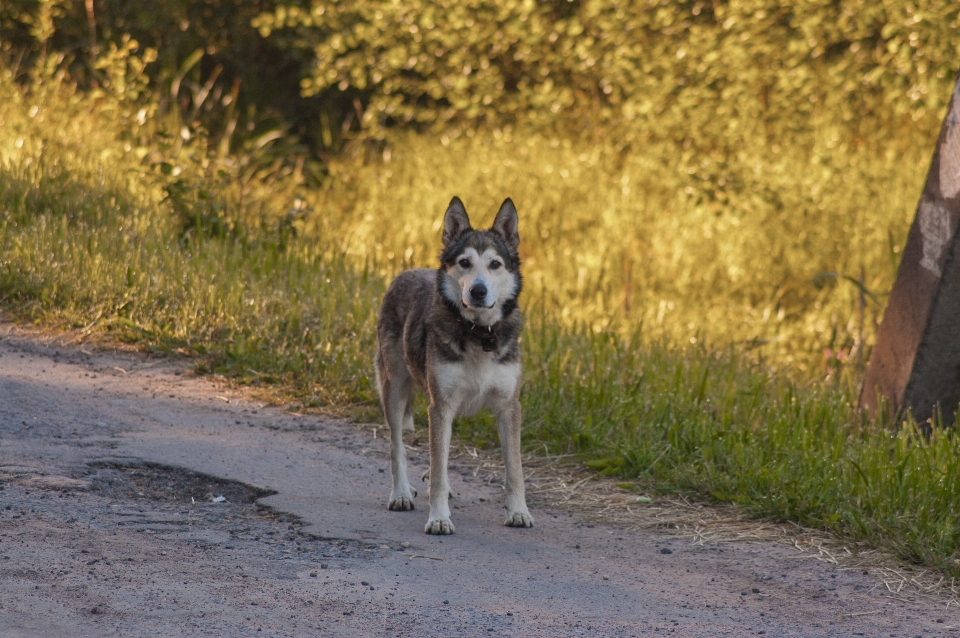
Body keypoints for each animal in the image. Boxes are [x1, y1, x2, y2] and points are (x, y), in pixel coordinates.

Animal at [376, 196, 536, 536]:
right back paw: (401, 494)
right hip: (394, 390)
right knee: (397, 448)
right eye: (464, 262)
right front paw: (438, 518)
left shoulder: (509, 407)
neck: (479, 334)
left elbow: (514, 470)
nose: (478, 290)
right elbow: (436, 470)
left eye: (494, 264)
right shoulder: (441, 406)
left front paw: (518, 512)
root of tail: (405, 272)